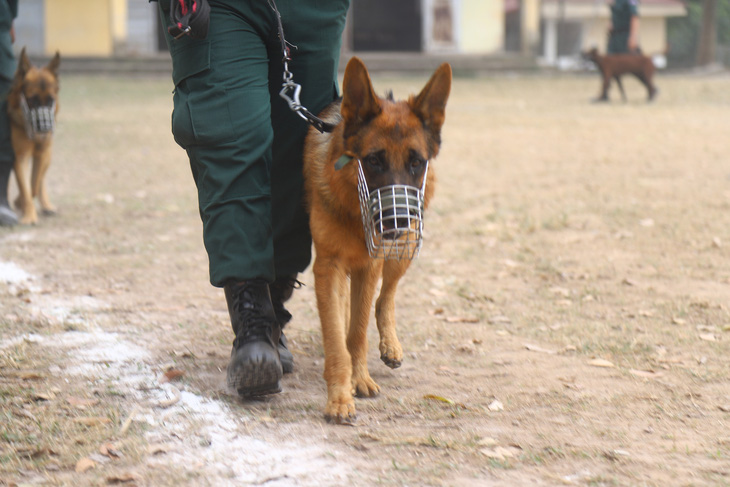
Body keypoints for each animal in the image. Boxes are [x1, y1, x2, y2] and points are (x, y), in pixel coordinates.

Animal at [7, 47, 60, 223]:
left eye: (50, 100)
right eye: (32, 100)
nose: (45, 130)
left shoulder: (41, 153)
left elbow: (33, 184)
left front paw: (21, 204)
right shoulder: (20, 157)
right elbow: (26, 188)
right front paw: (29, 216)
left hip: (48, 156)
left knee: (40, 180)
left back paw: (46, 205)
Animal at [302, 56, 450, 424]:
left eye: (416, 162)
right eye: (373, 160)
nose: (395, 220)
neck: (355, 212)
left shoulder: (369, 266)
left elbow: (357, 332)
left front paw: (358, 379)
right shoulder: (329, 267)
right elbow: (336, 336)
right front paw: (339, 396)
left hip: (404, 249)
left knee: (385, 297)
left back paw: (390, 345)